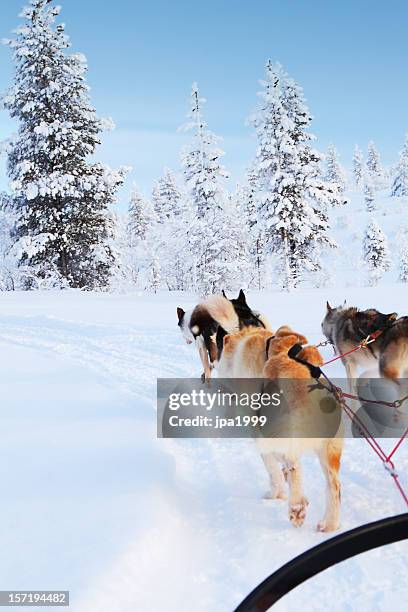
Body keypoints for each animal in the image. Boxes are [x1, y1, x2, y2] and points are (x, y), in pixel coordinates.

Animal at [218, 326, 342, 532]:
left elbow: (272, 467)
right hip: (328, 451)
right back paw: (329, 524)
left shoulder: (258, 430)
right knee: (334, 486)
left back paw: (297, 506)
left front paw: (276, 492)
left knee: (294, 465)